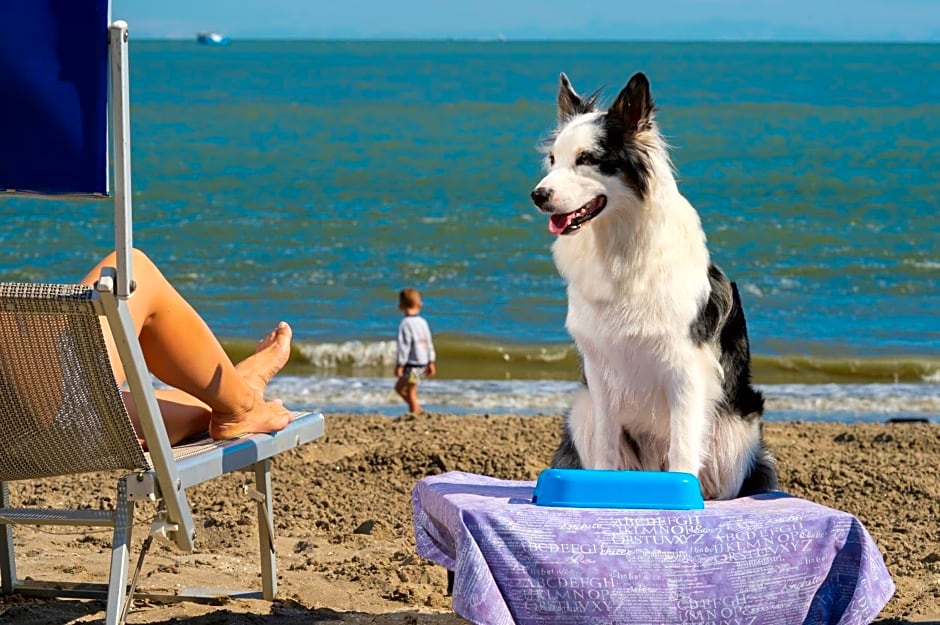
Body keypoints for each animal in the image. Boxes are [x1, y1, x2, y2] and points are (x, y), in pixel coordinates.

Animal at [528, 73, 780, 500]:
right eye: (552, 160)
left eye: (586, 159)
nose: (537, 195)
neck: (618, 246)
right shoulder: (600, 369)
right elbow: (606, 448)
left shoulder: (686, 368)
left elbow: (683, 449)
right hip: (581, 409)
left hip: (736, 431)